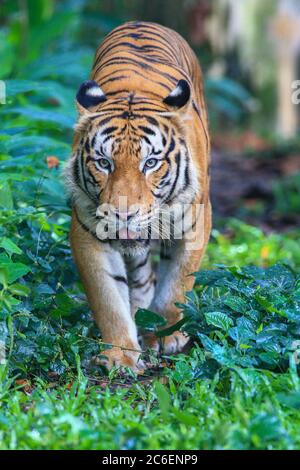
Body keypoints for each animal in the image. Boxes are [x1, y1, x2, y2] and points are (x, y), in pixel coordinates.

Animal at [65, 21, 211, 374]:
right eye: (104, 163)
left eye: (151, 163)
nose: (123, 213)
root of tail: (142, 22)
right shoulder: (88, 235)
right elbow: (109, 300)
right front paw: (121, 355)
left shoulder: (195, 226)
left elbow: (176, 286)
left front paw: (168, 335)